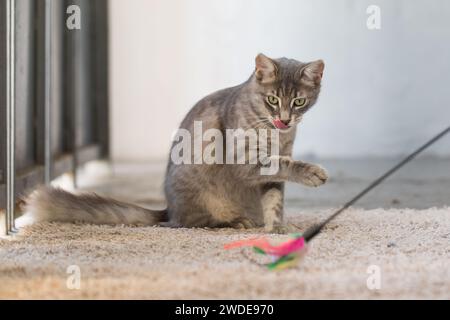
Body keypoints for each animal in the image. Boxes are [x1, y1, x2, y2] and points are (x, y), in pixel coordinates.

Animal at [27, 54, 326, 232]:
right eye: (272, 99)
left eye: (299, 101)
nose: (285, 120)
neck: (276, 134)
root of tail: (168, 210)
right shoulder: (247, 160)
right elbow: (284, 165)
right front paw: (312, 172)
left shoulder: (273, 172)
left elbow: (274, 200)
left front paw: (276, 229)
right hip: (199, 196)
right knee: (195, 223)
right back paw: (234, 222)